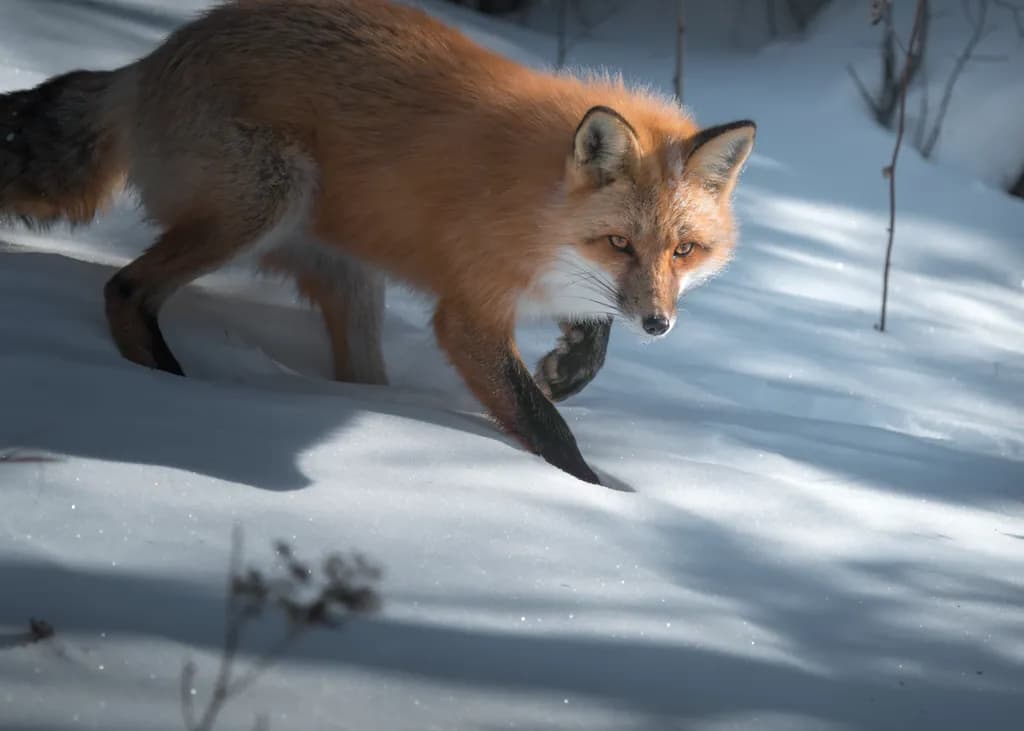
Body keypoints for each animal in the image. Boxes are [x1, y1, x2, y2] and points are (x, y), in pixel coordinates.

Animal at [0, 0, 755, 485]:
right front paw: (593, 491)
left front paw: (569, 366)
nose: (658, 324)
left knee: (355, 376)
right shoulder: (468, 313)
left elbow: (587, 346)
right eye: (619, 242)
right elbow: (545, 427)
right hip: (265, 201)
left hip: (351, 281)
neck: (536, 204)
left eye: (683, 250)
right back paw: (170, 388)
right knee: (124, 288)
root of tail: (150, 59)